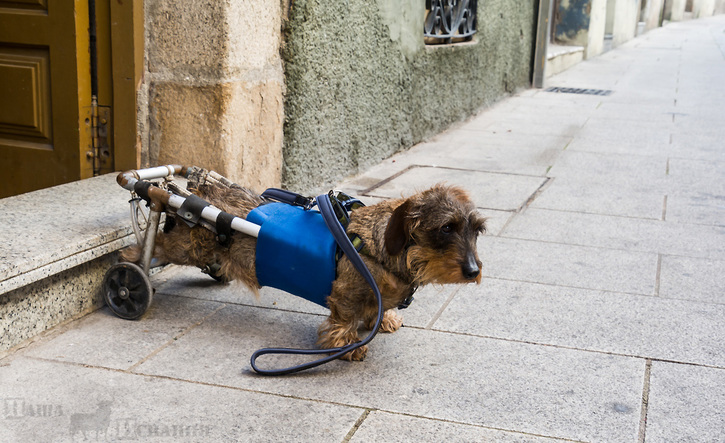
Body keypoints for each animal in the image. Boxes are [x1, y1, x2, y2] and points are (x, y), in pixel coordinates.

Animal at [123, 180, 486, 360]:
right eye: (446, 228)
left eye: (477, 230)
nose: (473, 271)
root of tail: (189, 194)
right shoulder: (344, 296)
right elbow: (343, 320)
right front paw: (347, 345)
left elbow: (375, 309)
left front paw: (382, 321)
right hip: (185, 245)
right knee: (149, 249)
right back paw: (127, 271)